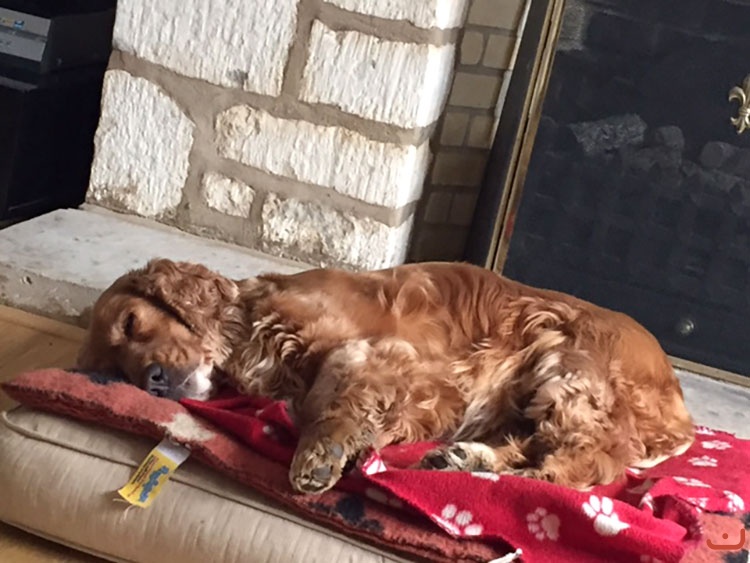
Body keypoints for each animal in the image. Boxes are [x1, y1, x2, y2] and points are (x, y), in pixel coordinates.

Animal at [76, 258, 694, 494]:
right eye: (112, 370)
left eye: (133, 323)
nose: (153, 381)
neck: (252, 328)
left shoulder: (388, 353)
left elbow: (330, 393)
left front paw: (319, 454)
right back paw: (464, 460)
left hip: (568, 360)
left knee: (589, 462)